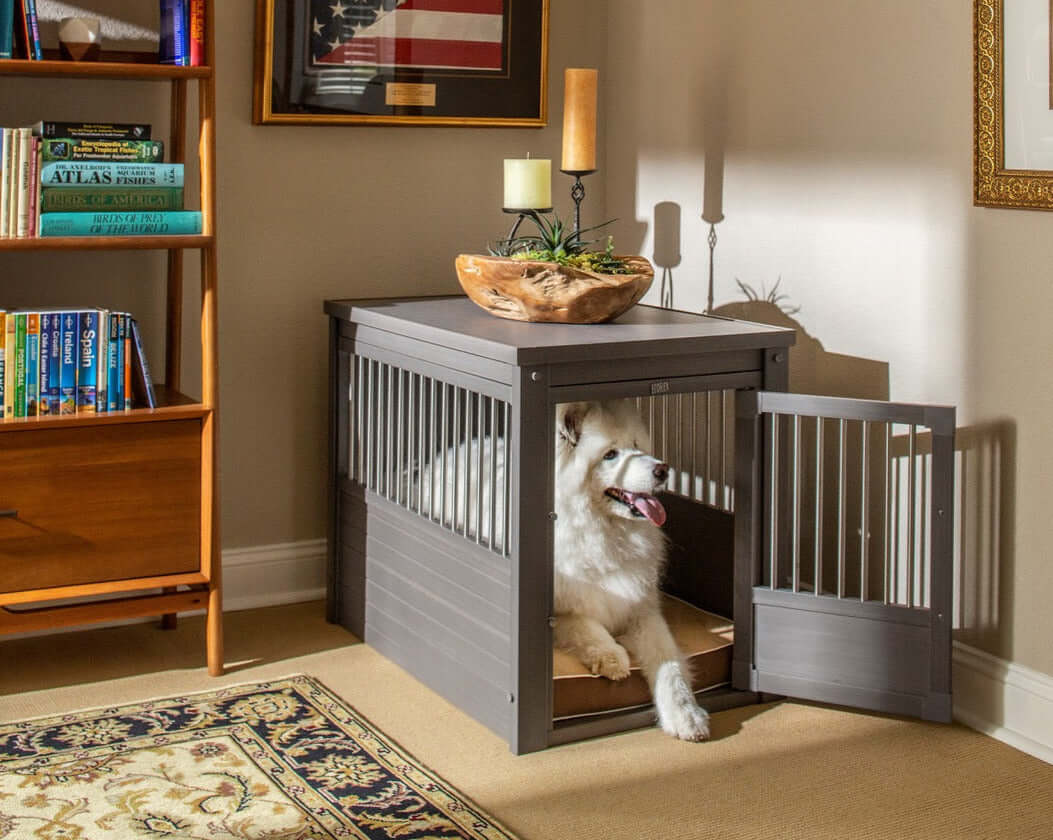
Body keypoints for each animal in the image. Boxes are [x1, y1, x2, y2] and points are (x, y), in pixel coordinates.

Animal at [555, 402, 711, 745]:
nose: (663, 469)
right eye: (610, 454)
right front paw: (612, 658)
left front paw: (686, 716)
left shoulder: (643, 611)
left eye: (638, 446)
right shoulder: (558, 609)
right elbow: (583, 624)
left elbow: (670, 666)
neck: (605, 532)